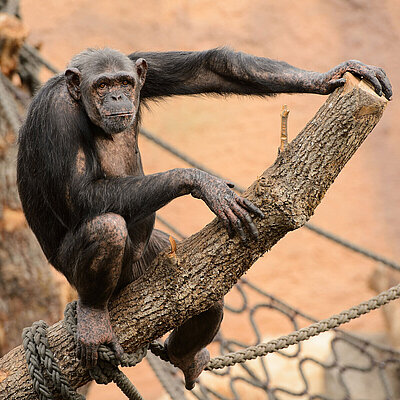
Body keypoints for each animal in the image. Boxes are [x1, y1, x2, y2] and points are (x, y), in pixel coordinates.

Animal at [17, 46, 392, 388]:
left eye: (124, 81)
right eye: (101, 85)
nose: (117, 96)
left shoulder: (139, 65)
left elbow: (210, 68)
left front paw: (335, 73)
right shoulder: (57, 114)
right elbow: (80, 193)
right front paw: (201, 181)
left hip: (151, 262)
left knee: (204, 299)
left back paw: (184, 356)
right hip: (75, 272)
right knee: (105, 227)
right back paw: (94, 315)